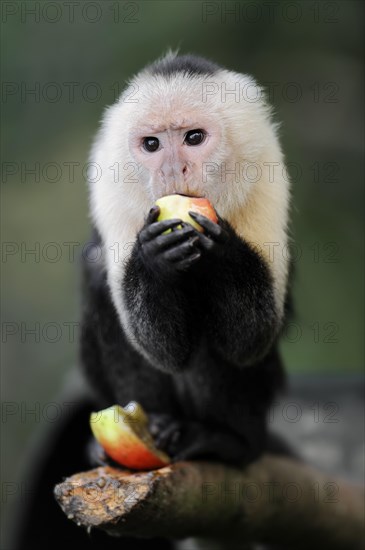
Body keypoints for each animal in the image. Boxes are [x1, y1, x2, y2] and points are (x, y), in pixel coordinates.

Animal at [10, 54, 290, 550]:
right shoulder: (114, 192)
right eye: (152, 144)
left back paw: (227, 441)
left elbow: (250, 341)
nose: (173, 171)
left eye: (193, 138)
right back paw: (152, 429)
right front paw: (155, 261)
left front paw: (223, 251)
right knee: (100, 278)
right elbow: (155, 345)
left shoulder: (266, 175)